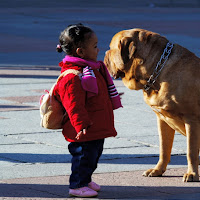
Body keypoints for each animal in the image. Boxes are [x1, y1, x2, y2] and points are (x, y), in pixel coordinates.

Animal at [104, 28, 200, 183]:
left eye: (111, 48)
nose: (105, 54)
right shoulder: (162, 120)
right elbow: (164, 148)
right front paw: (157, 170)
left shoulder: (191, 119)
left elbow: (191, 151)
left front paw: (192, 174)